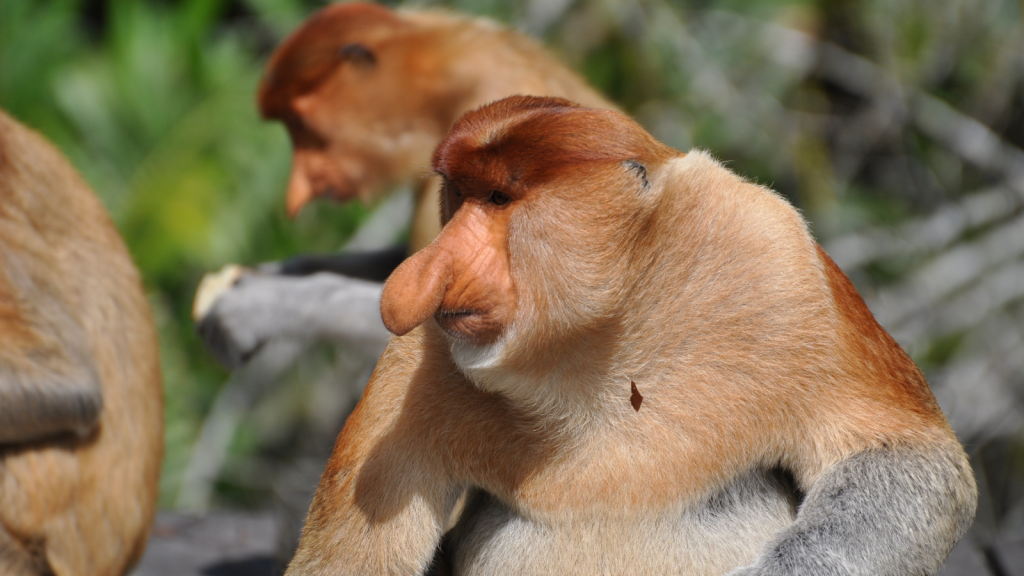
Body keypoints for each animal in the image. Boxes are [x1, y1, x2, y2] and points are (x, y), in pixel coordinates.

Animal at [286, 95, 974, 573]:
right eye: (457, 196)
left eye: (499, 197)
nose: (424, 271)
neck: (602, 339)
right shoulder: (416, 363)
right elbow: (343, 562)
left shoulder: (777, 262)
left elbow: (911, 461)